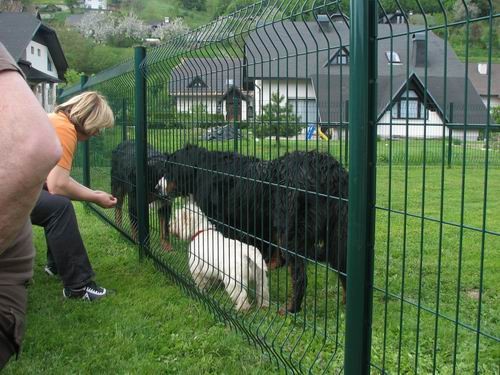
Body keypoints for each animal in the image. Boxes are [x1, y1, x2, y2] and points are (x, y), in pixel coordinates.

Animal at [160, 145, 348, 312]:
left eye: (168, 170)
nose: (156, 187)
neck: (201, 170)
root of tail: (328, 168)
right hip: (336, 234)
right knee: (342, 267)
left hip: (291, 233)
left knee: (300, 277)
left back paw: (291, 308)